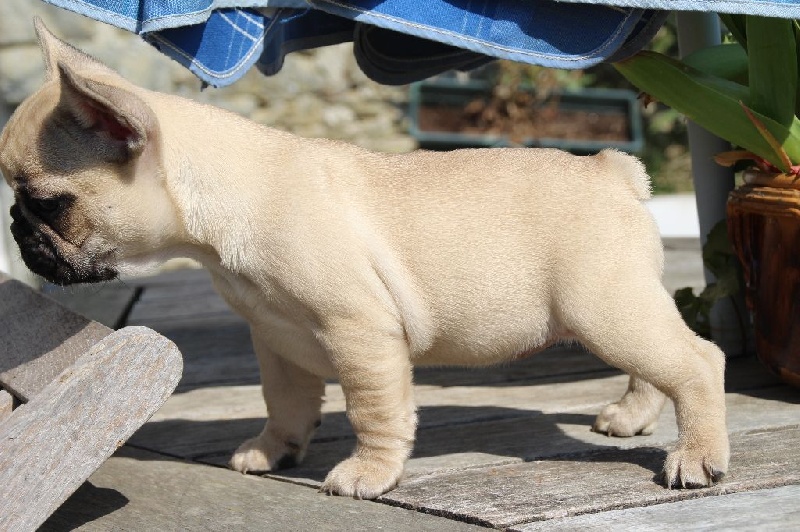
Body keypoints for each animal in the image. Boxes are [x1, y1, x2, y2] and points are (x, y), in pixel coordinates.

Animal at [0, 18, 728, 496]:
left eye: (47, 203)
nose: (15, 226)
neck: (226, 200)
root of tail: (612, 170)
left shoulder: (360, 333)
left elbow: (372, 411)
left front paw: (368, 473)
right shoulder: (277, 340)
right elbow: (284, 402)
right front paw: (273, 450)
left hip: (602, 305)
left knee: (696, 362)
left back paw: (697, 456)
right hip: (618, 306)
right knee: (655, 366)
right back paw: (631, 418)